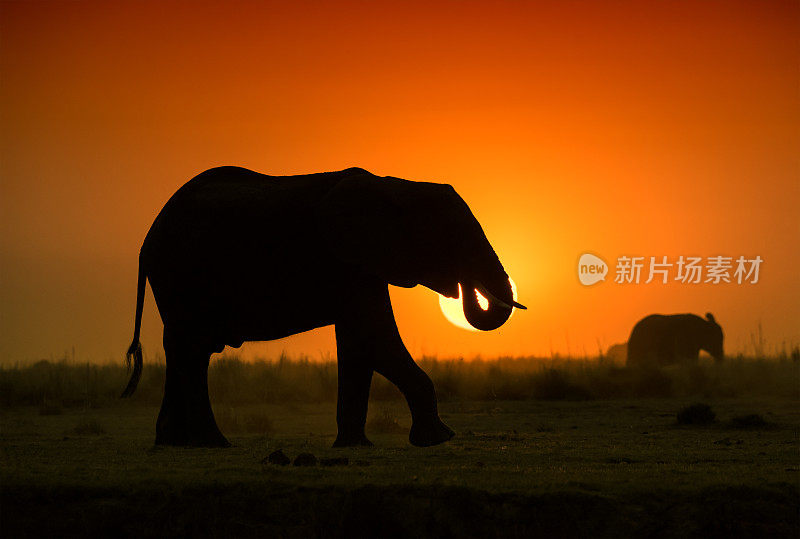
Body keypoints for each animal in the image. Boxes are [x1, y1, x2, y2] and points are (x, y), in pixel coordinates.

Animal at [120, 167, 524, 450]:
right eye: (454, 239)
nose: (465, 287)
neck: (396, 186)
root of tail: (147, 237)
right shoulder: (344, 261)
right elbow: (377, 340)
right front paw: (439, 439)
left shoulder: (361, 265)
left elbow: (360, 345)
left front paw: (355, 446)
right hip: (179, 274)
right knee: (191, 350)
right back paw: (214, 444)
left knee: (187, 349)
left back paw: (173, 442)